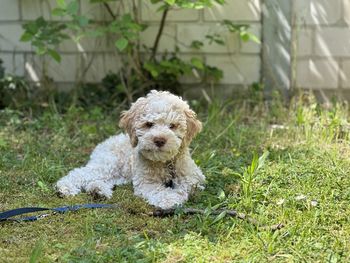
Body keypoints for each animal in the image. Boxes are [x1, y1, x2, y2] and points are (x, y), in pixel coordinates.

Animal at [55, 91, 205, 210]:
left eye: (173, 126)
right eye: (149, 124)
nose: (159, 140)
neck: (164, 163)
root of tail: (105, 142)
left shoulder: (194, 178)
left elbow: (189, 185)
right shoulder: (146, 182)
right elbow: (160, 191)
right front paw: (170, 199)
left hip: (119, 174)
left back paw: (98, 191)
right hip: (109, 164)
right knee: (80, 173)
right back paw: (64, 187)